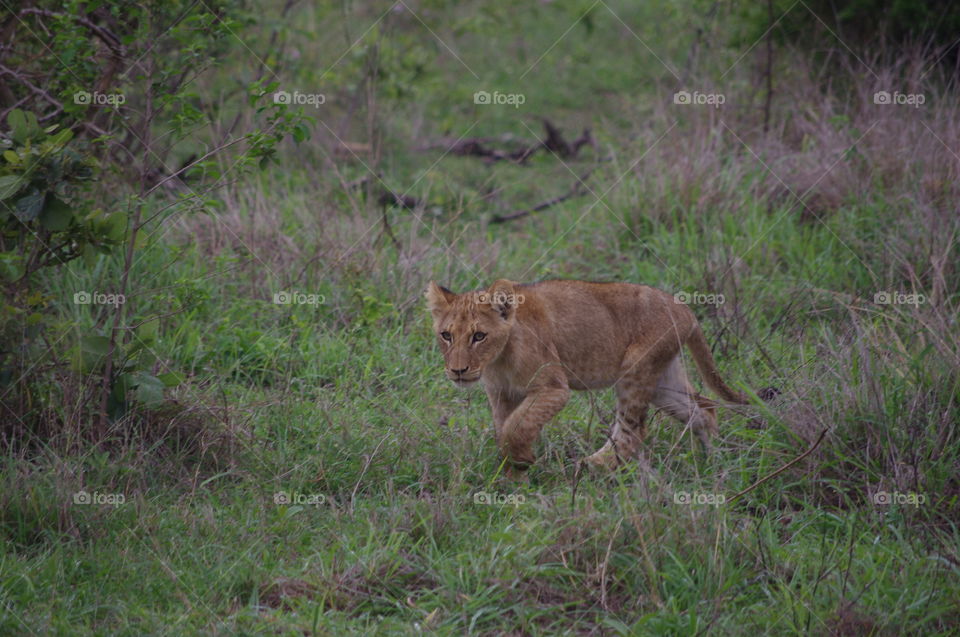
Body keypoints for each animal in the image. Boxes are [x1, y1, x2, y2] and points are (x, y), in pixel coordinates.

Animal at [425, 278, 748, 476]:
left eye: (479, 336)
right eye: (446, 335)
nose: (458, 371)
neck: (497, 360)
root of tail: (685, 309)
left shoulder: (554, 388)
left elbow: (515, 428)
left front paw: (522, 460)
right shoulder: (501, 394)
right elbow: (504, 428)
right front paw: (514, 477)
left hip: (635, 369)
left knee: (632, 433)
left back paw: (590, 466)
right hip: (662, 381)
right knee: (704, 409)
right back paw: (715, 461)